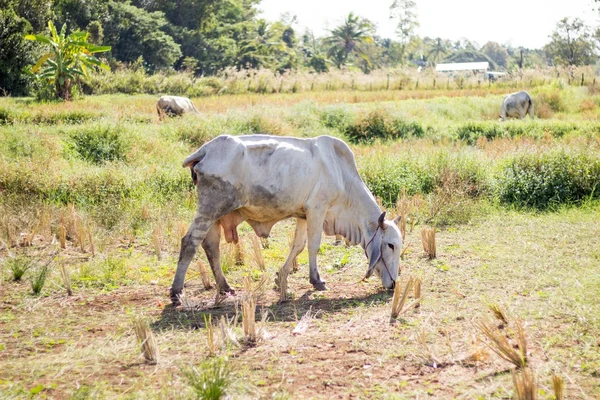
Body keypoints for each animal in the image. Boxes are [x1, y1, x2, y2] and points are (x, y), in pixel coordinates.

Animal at [169, 134, 404, 304]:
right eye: (391, 245)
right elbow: (313, 245)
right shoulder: (317, 209)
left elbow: (298, 246)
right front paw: (317, 280)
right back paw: (176, 292)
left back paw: (225, 287)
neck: (342, 175)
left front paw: (280, 277)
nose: (394, 284)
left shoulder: (303, 214)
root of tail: (205, 150)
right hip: (209, 209)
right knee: (189, 243)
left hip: (216, 216)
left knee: (211, 247)